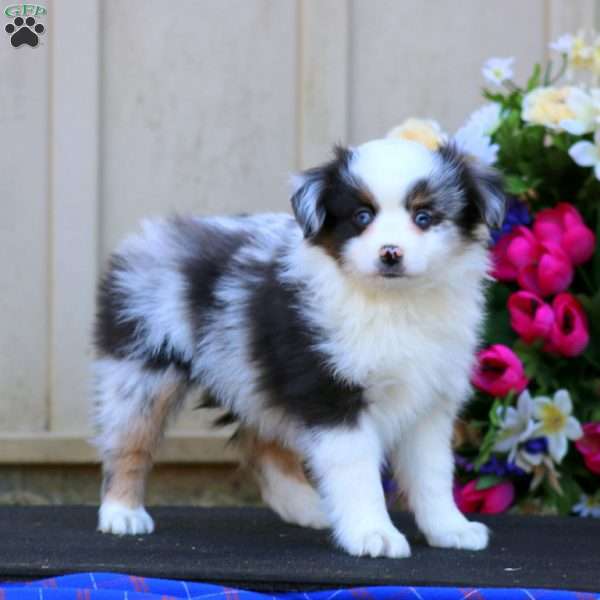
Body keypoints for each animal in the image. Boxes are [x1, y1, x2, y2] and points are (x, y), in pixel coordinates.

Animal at [91, 139, 504, 556]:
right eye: (362, 216)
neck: (393, 303)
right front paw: (373, 534)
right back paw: (122, 512)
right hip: (143, 363)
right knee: (129, 439)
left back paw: (309, 508)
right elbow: (357, 472)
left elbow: (433, 474)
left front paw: (450, 529)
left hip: (244, 368)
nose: (390, 253)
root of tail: (151, 234)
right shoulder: (332, 392)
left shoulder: (430, 403)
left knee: (261, 443)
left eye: (424, 216)